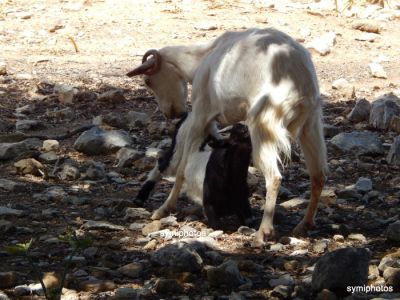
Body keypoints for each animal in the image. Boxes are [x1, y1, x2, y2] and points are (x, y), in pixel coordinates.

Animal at [128, 27, 328, 246]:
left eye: (148, 81)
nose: (172, 114)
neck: (204, 57)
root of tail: (300, 82)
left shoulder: (201, 113)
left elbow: (182, 167)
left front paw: (164, 208)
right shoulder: (215, 123)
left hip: (263, 127)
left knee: (274, 177)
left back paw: (262, 232)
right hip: (311, 127)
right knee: (318, 176)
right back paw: (303, 225)